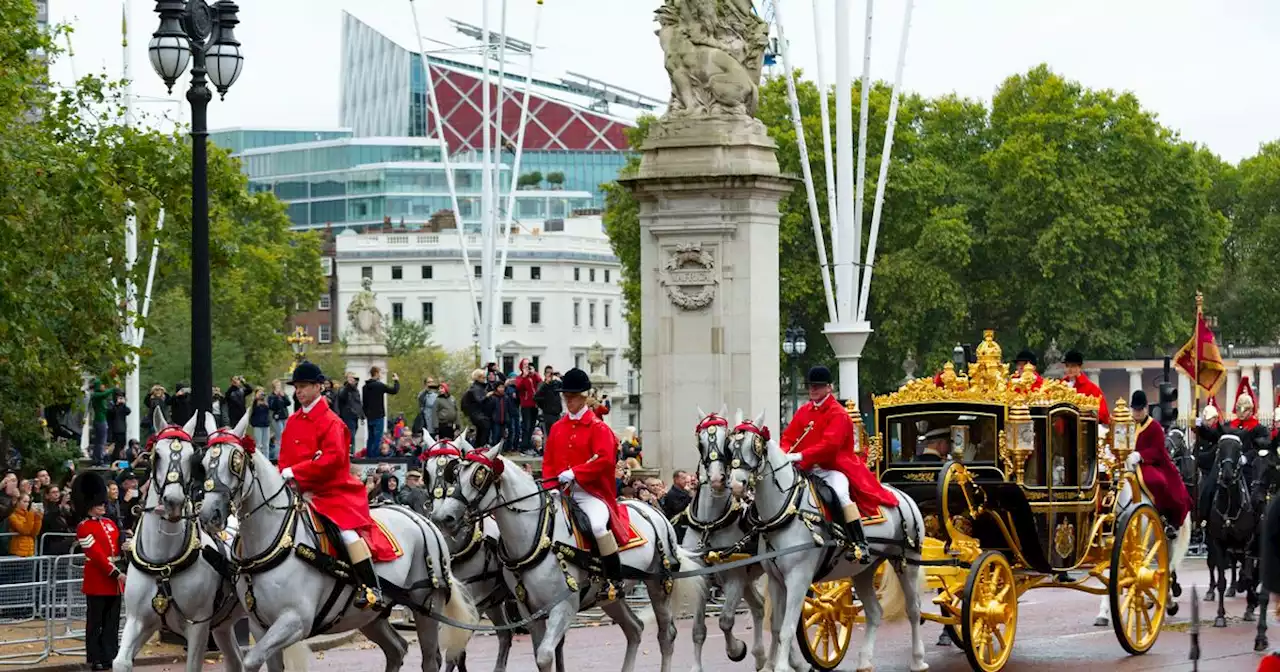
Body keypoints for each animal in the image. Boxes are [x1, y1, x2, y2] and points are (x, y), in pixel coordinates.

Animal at [197, 419, 478, 670]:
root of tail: (423, 518)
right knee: (396, 650)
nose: (209, 514)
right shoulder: (260, 626)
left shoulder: (296, 621)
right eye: (202, 463)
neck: (277, 540)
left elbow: (251, 660)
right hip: (370, 616)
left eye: (235, 461)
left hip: (426, 607)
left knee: (430, 659)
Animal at [435, 445, 706, 672]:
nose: (443, 517)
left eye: (478, 476)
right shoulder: (529, 611)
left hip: (658, 585)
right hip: (609, 597)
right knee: (634, 630)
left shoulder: (563, 606)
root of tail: (652, 510)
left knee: (666, 635)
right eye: (455, 475)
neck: (538, 534)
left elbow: (546, 655)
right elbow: (541, 656)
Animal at [686, 409, 762, 670]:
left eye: (726, 440)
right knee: (760, 606)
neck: (710, 524)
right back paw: (761, 657)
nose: (718, 479)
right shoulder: (700, 578)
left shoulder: (735, 577)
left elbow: (726, 620)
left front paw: (736, 650)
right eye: (700, 442)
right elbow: (698, 630)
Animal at [727, 419, 926, 670]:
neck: (788, 509)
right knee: (874, 612)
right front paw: (775, 665)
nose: (736, 484)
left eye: (755, 446)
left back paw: (918, 660)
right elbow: (776, 626)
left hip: (908, 563)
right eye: (729, 448)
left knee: (914, 610)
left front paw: (781, 666)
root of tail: (901, 495)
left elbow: (787, 628)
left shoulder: (798, 579)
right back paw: (865, 661)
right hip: (863, 570)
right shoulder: (776, 580)